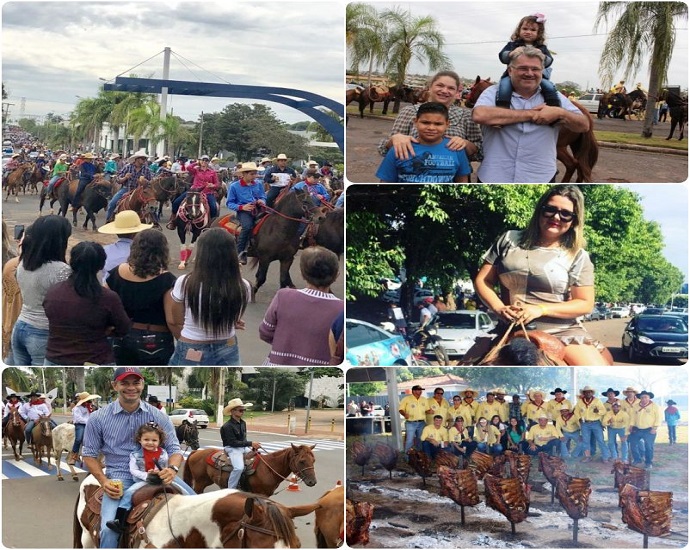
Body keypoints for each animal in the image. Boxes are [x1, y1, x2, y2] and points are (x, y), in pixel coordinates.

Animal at [183, 442, 318, 498]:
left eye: (313, 460)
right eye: (301, 461)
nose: (313, 482)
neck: (268, 468)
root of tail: (195, 452)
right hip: (200, 482)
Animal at [462, 76, 596, 183]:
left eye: (472, 88)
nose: (467, 101)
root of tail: (585, 114)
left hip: (560, 147)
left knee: (572, 164)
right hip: (576, 147)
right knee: (581, 168)